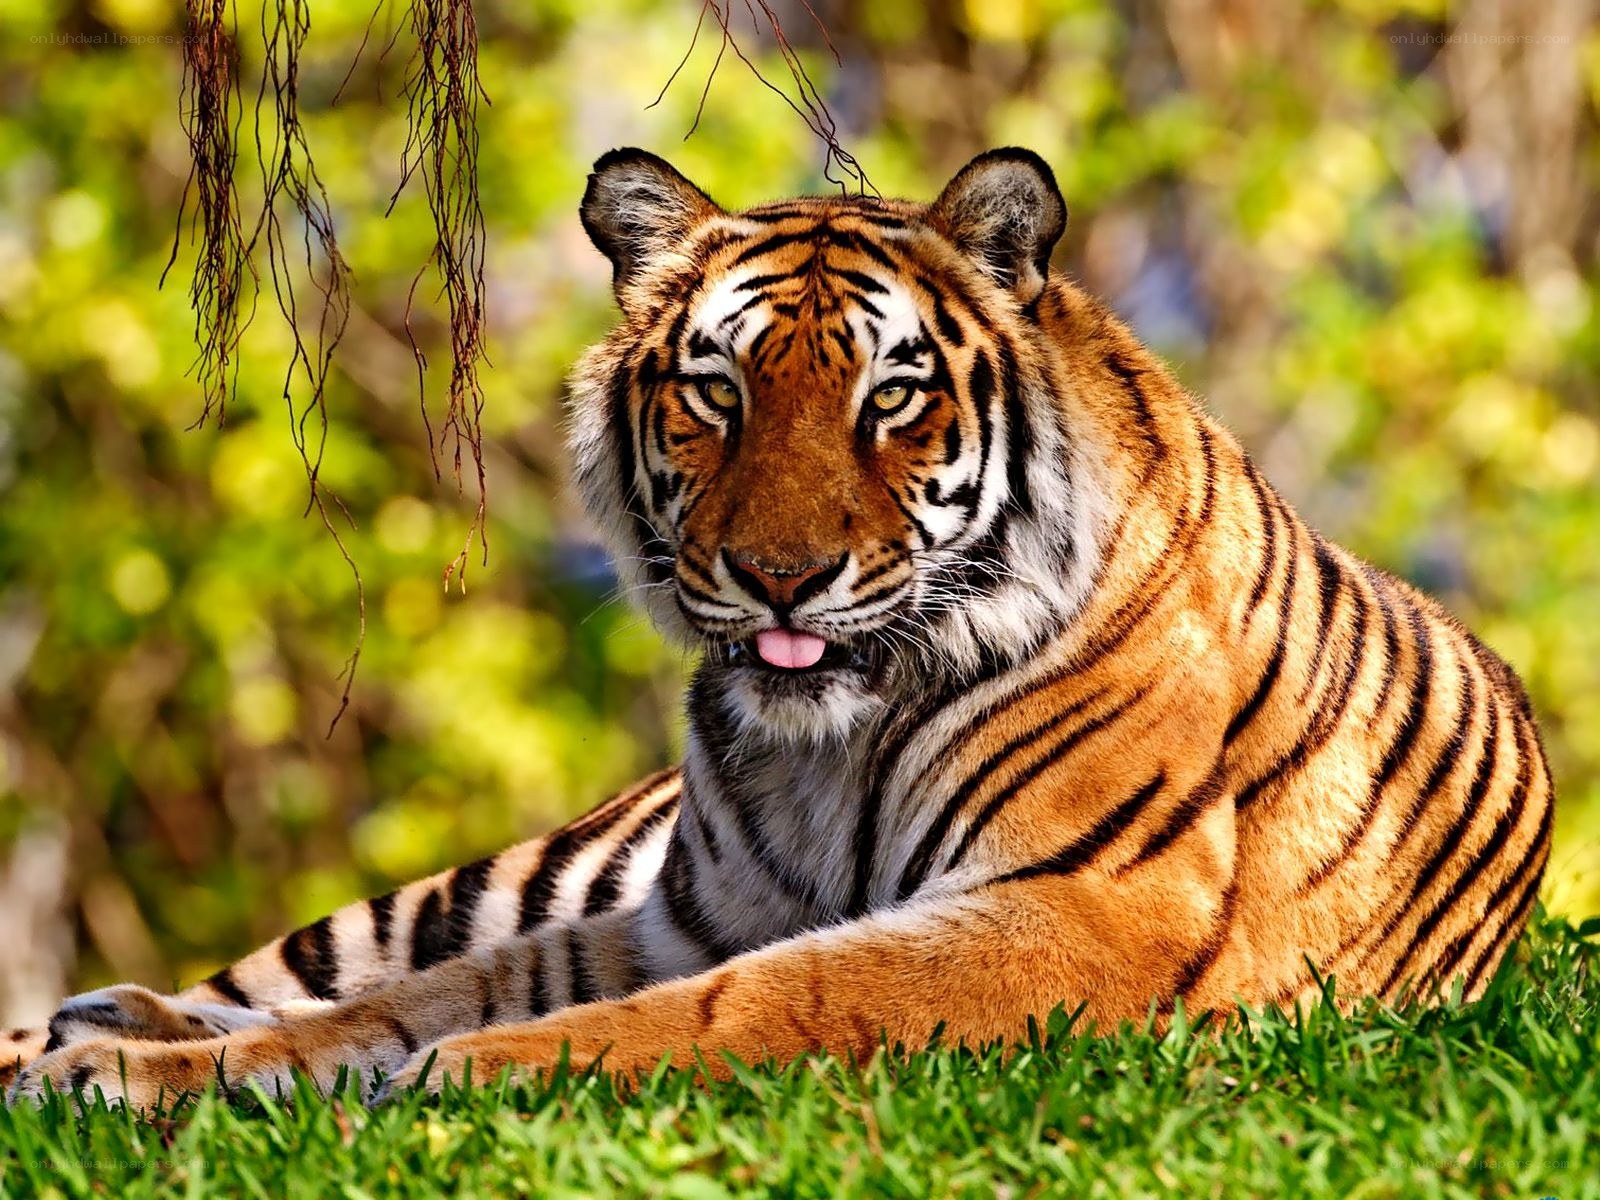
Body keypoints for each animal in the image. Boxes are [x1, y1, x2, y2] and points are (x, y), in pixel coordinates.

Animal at [4, 147, 1554, 1108]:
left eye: (890, 396)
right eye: (718, 391)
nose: (780, 577)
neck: (830, 746)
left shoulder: (1084, 911)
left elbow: (765, 1001)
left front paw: (482, 1076)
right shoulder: (684, 916)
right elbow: (415, 1000)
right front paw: (143, 1080)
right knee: (303, 978)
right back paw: (101, 1028)